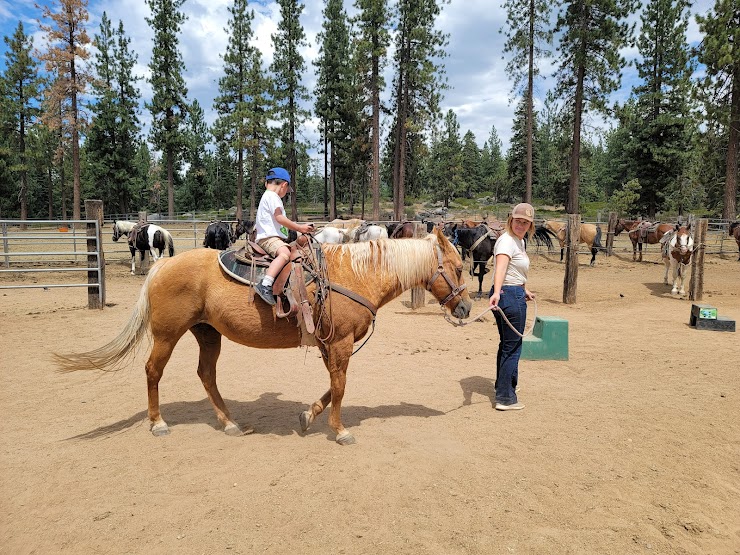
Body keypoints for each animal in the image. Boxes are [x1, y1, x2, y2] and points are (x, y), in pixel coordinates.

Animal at [55, 229, 472, 448]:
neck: (354, 276)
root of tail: (162, 265)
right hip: (167, 335)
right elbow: (340, 386)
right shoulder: (339, 344)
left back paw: (229, 423)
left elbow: (331, 386)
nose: (467, 308)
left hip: (208, 334)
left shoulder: (329, 344)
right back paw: (158, 423)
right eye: (456, 267)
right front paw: (339, 430)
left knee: (206, 375)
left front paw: (308, 416)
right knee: (153, 371)